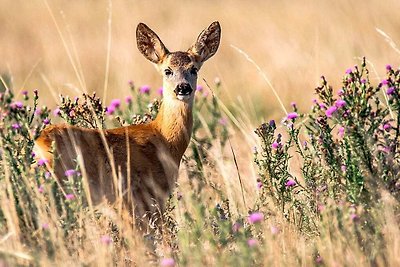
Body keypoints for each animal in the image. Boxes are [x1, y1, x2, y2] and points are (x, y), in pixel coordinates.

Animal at [33, 22, 222, 229]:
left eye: (194, 69)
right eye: (167, 70)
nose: (183, 88)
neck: (164, 139)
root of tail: (39, 144)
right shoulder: (145, 195)